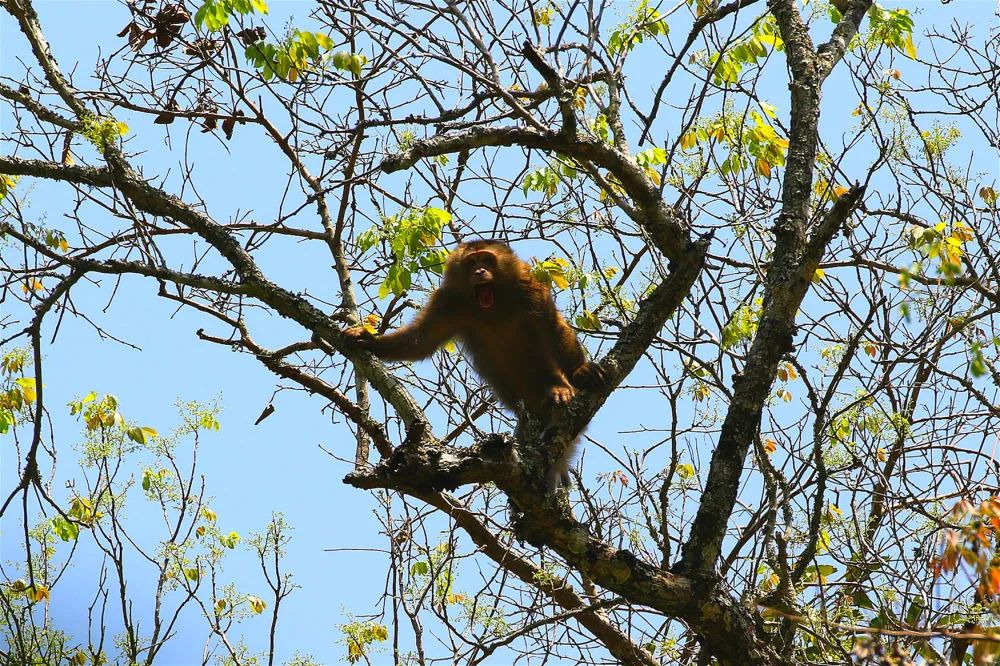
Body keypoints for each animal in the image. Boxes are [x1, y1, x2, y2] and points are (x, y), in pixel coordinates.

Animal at [344, 239, 608, 488]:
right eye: (471, 263)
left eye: (486, 260)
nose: (480, 272)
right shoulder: (448, 302)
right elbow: (421, 340)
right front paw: (370, 340)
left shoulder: (529, 287)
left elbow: (552, 326)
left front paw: (580, 370)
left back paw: (558, 388)